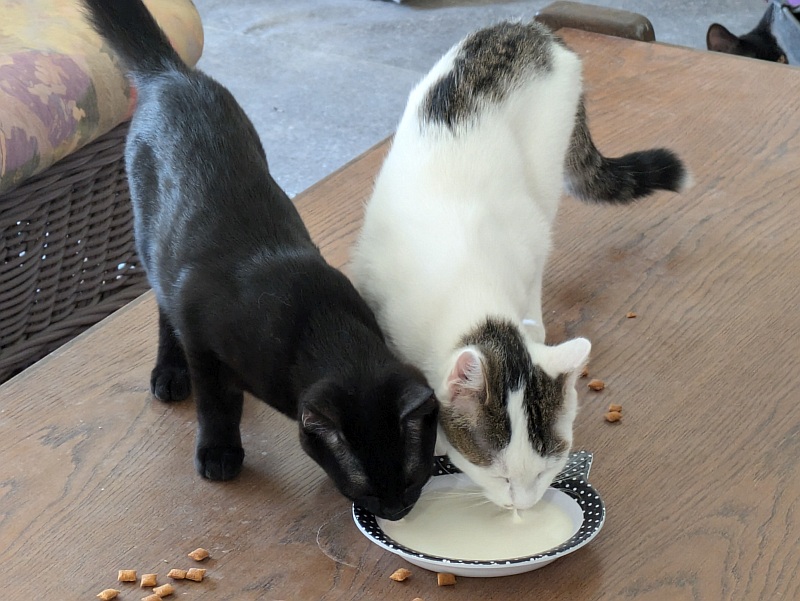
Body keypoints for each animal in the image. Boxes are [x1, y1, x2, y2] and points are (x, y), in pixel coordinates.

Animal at [82, 0, 438, 521]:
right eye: (367, 490)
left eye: (413, 480)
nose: (395, 511)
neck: (316, 322)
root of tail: (170, 73)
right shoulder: (204, 342)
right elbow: (217, 404)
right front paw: (219, 453)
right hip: (149, 242)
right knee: (164, 309)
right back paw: (170, 375)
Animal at [350, 20, 688, 511]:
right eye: (500, 475)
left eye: (547, 469)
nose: (524, 507)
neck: (471, 289)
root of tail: (536, 30)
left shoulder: (529, 242)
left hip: (546, 168)